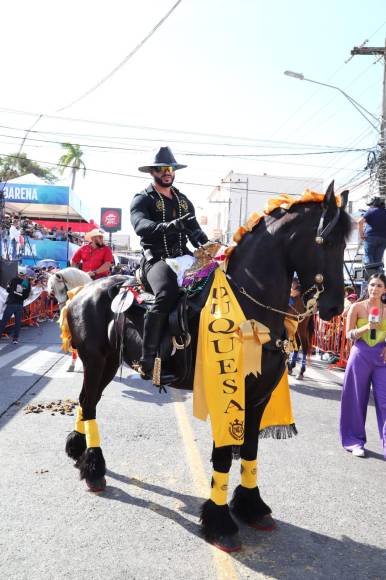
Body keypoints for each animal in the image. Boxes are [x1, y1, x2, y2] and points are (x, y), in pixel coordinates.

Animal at [65, 184, 350, 552]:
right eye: (324, 241)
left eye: (345, 244)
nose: (334, 307)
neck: (248, 308)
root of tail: (82, 290)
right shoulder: (226, 392)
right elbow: (224, 455)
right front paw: (220, 522)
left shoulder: (258, 396)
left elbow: (250, 449)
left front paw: (251, 505)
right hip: (95, 360)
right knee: (88, 404)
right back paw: (94, 469)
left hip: (108, 362)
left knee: (87, 403)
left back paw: (79, 450)